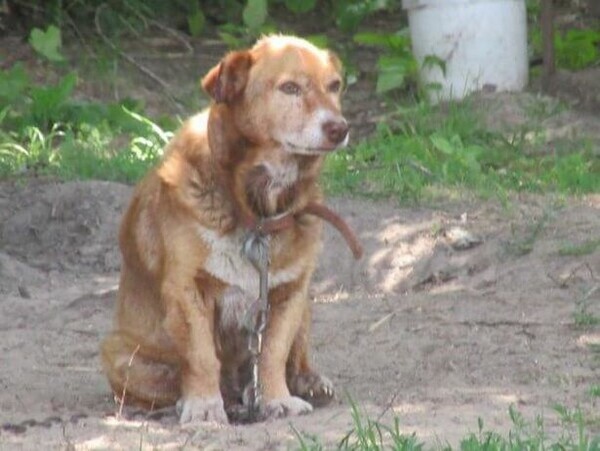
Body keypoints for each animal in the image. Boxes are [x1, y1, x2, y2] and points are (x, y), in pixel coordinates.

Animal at [101, 34, 360, 424]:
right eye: (290, 88)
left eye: (334, 86)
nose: (339, 128)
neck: (257, 212)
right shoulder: (188, 291)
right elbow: (202, 357)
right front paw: (204, 406)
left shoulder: (289, 294)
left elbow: (273, 354)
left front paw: (276, 398)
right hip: (119, 354)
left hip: (306, 308)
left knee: (292, 359)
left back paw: (304, 382)